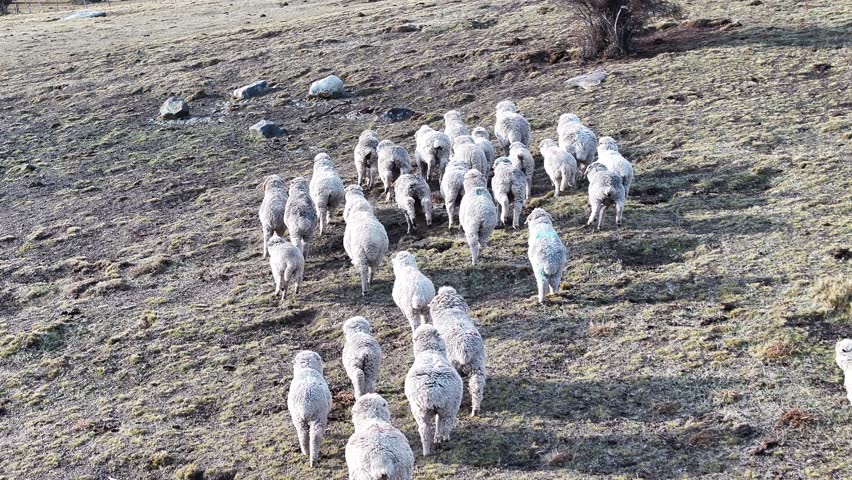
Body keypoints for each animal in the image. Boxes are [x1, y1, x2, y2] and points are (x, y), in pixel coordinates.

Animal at [404, 324, 463, 456]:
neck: (430, 350)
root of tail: (433, 392)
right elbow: (438, 423)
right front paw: (438, 437)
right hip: (449, 408)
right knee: (445, 425)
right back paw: (442, 440)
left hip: (421, 411)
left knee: (425, 431)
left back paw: (427, 451)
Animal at [429, 286, 486, 416]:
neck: (450, 310)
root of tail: (464, 347)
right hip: (477, 365)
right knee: (477, 386)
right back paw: (475, 409)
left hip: (454, 364)